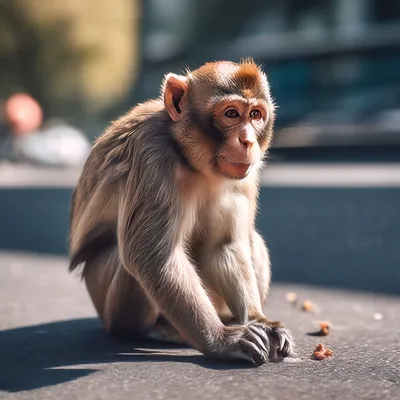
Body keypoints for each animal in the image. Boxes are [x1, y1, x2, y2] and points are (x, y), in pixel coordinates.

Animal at [69, 57, 294, 368]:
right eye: (232, 113)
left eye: (256, 115)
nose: (248, 141)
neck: (192, 160)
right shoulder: (152, 153)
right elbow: (153, 258)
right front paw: (223, 341)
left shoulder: (244, 176)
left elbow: (224, 245)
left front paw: (260, 321)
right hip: (106, 301)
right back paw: (153, 330)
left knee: (252, 240)